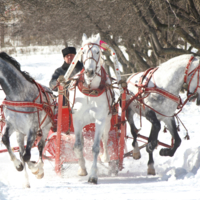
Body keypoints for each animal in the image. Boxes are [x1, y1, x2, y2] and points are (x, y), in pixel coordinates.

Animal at [68, 33, 114, 184]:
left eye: (98, 52)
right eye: (83, 52)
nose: (89, 72)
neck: (90, 91)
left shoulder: (100, 120)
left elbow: (95, 147)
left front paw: (93, 175)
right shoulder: (76, 119)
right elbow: (78, 146)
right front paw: (82, 169)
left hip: (108, 120)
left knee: (105, 138)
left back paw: (106, 157)